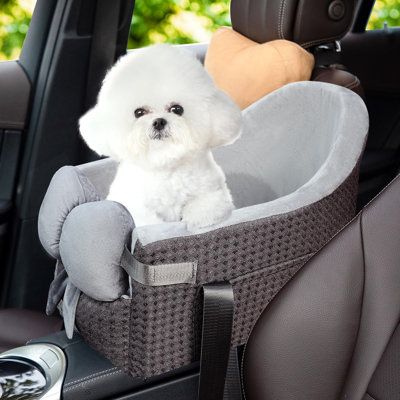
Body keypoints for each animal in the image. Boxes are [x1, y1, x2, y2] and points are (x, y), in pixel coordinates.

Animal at [78, 43, 241, 230]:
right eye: (139, 112)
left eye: (177, 109)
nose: (159, 122)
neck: (164, 163)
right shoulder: (135, 206)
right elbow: (148, 221)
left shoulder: (213, 192)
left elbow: (207, 206)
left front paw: (197, 219)